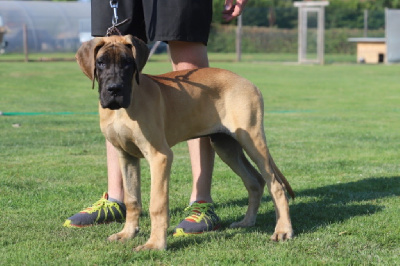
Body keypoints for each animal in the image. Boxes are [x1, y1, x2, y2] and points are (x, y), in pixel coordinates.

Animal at [76, 34, 294, 249]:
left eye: (127, 63)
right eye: (101, 63)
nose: (114, 89)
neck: (123, 110)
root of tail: (248, 82)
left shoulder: (160, 156)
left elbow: (157, 204)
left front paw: (155, 244)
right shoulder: (126, 156)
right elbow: (131, 199)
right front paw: (127, 233)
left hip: (252, 139)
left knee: (275, 185)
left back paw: (283, 230)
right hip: (226, 146)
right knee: (255, 181)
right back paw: (247, 222)